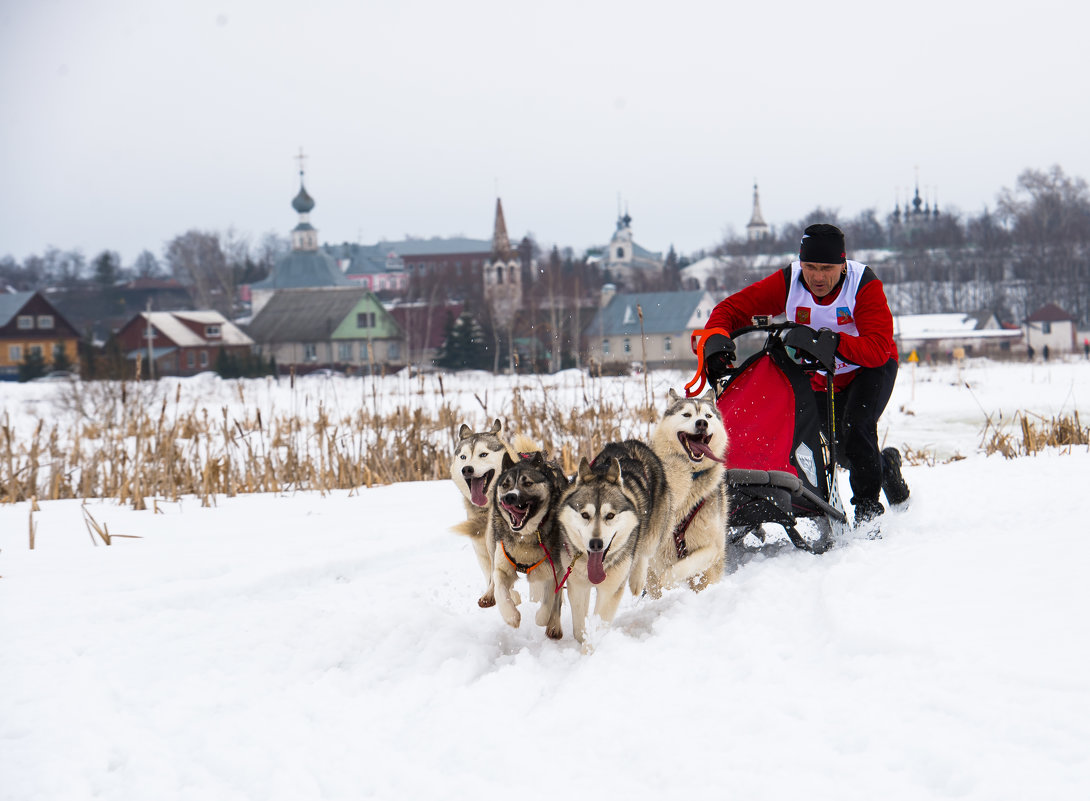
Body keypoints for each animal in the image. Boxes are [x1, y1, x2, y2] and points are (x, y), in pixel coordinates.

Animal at [488, 451, 571, 640]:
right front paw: (511, 616)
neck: (525, 536)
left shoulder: (553, 570)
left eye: (527, 483)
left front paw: (543, 618)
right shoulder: (503, 566)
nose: (509, 496)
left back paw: (554, 626)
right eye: (505, 485)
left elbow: (549, 602)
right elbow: (500, 590)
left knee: (557, 600)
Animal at [558, 438, 667, 645]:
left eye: (610, 515)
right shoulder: (578, 586)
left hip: (653, 532)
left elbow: (597, 627)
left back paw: (637, 580)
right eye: (585, 515)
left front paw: (589, 649)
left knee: (644, 551)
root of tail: (629, 442)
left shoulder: (611, 589)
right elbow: (579, 630)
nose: (596, 544)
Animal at [640, 387, 728, 597]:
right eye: (687, 415)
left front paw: (669, 581)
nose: (702, 423)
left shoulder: (711, 548)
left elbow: (681, 568)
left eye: (708, 415)